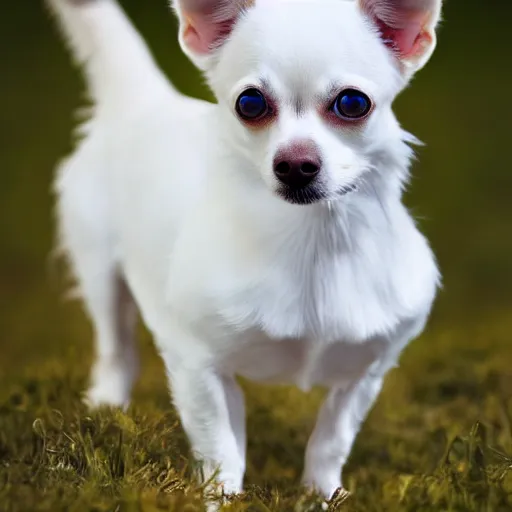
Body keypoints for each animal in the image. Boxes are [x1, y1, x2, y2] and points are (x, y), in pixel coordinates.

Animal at [46, 0, 442, 500]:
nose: (295, 164)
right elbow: (221, 449)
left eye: (353, 103)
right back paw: (105, 410)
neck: (314, 242)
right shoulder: (198, 365)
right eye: (250, 103)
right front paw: (222, 501)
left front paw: (320, 498)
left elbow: (331, 441)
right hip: (100, 273)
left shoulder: (364, 375)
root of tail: (145, 100)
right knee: (116, 350)